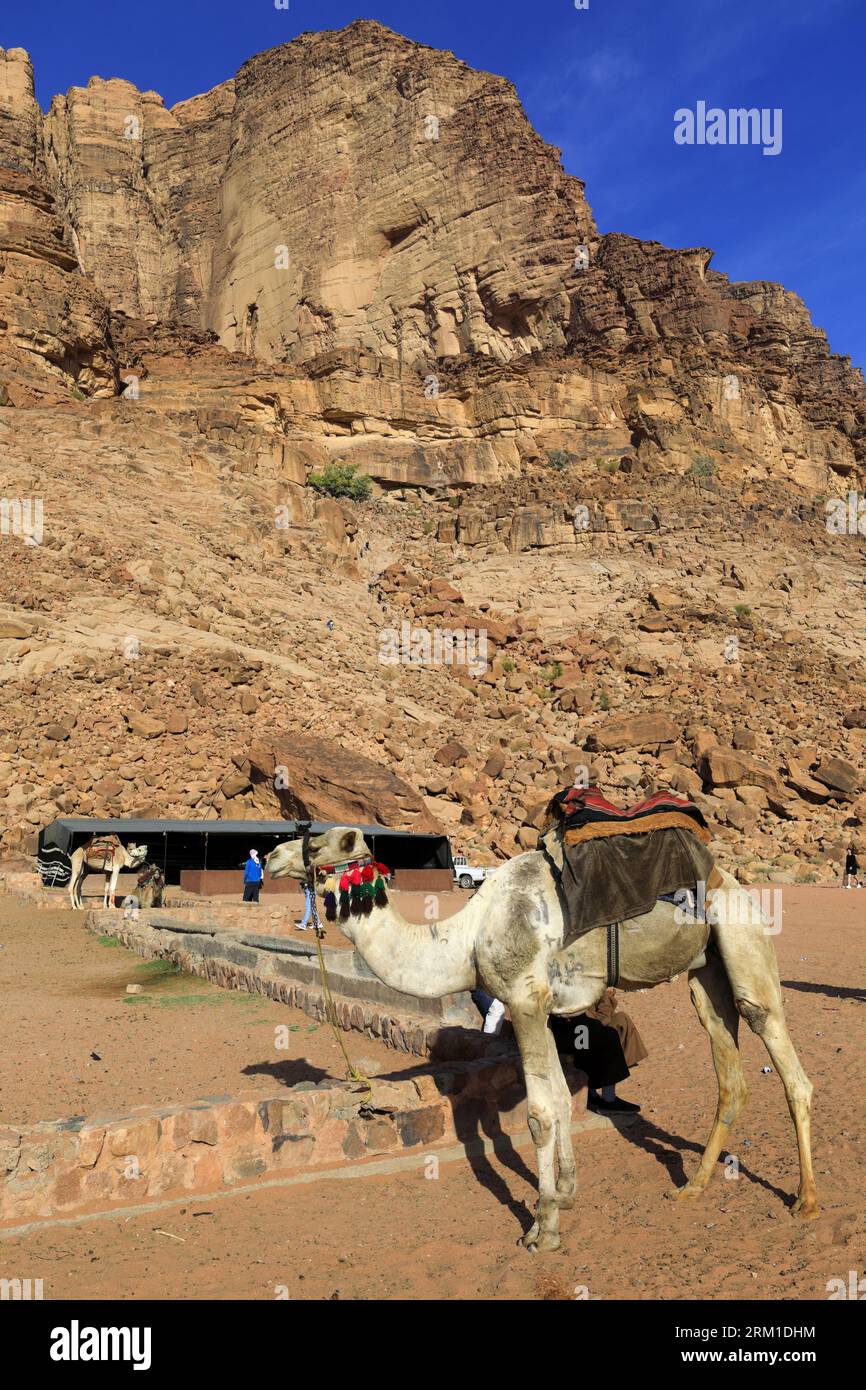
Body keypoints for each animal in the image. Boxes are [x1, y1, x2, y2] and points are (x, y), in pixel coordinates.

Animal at [265, 817, 817, 1256]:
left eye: (322, 841)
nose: (270, 856)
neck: (464, 939)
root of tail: (733, 882)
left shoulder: (524, 1000)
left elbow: (539, 1115)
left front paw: (542, 1227)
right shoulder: (543, 1007)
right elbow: (560, 1100)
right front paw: (566, 1193)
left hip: (742, 936)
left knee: (786, 1059)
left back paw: (806, 1201)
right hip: (706, 974)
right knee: (729, 1073)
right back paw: (692, 1188)